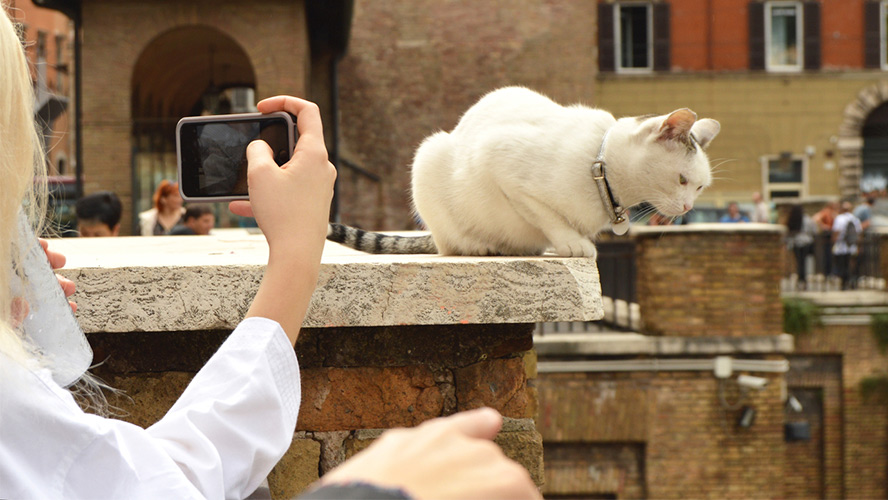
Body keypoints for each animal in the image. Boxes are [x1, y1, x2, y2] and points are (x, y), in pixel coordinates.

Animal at [328, 87, 720, 258]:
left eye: (700, 188)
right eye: (682, 180)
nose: (687, 208)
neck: (601, 169)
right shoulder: (499, 161)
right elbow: (545, 214)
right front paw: (572, 243)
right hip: (429, 154)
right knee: (447, 242)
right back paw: (479, 245)